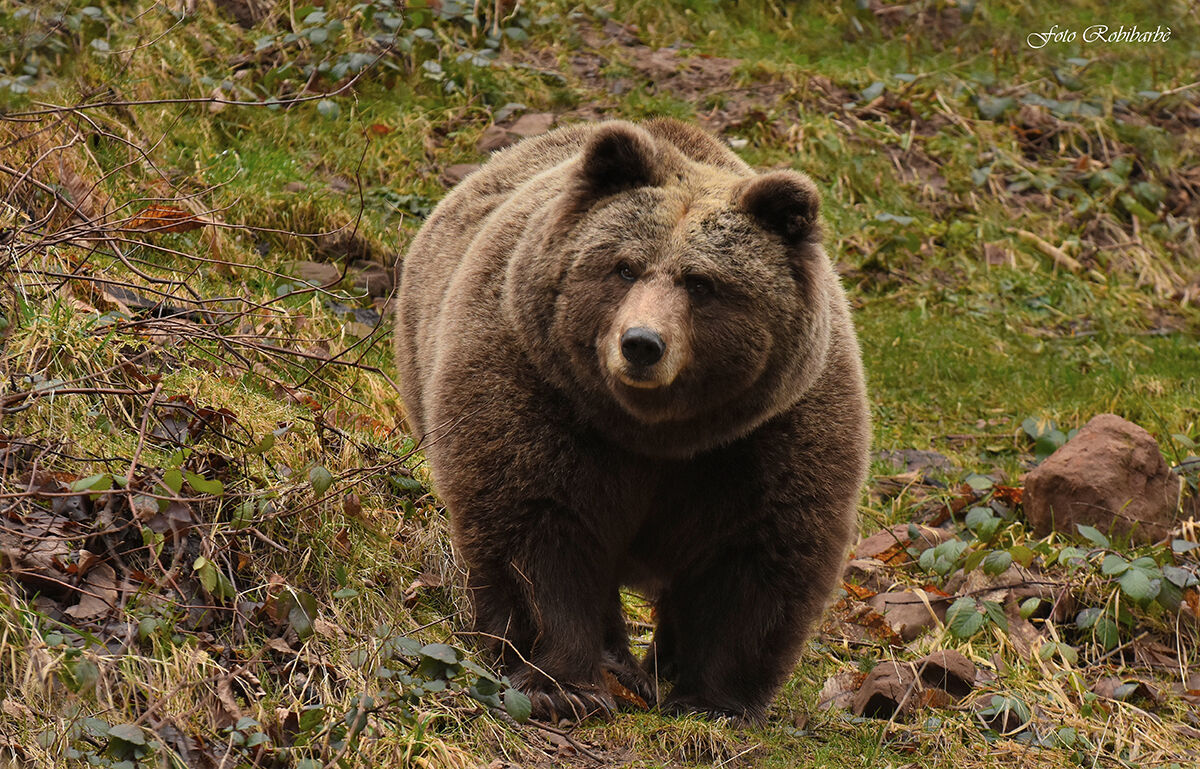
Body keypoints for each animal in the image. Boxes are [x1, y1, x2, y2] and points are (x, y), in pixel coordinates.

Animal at [394, 118, 870, 723]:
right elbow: (537, 528)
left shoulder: (770, 436)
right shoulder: (534, 390)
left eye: (701, 283)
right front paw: (561, 685)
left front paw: (713, 701)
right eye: (624, 267)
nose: (641, 343)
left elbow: (755, 558)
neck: (657, 432)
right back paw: (620, 664)